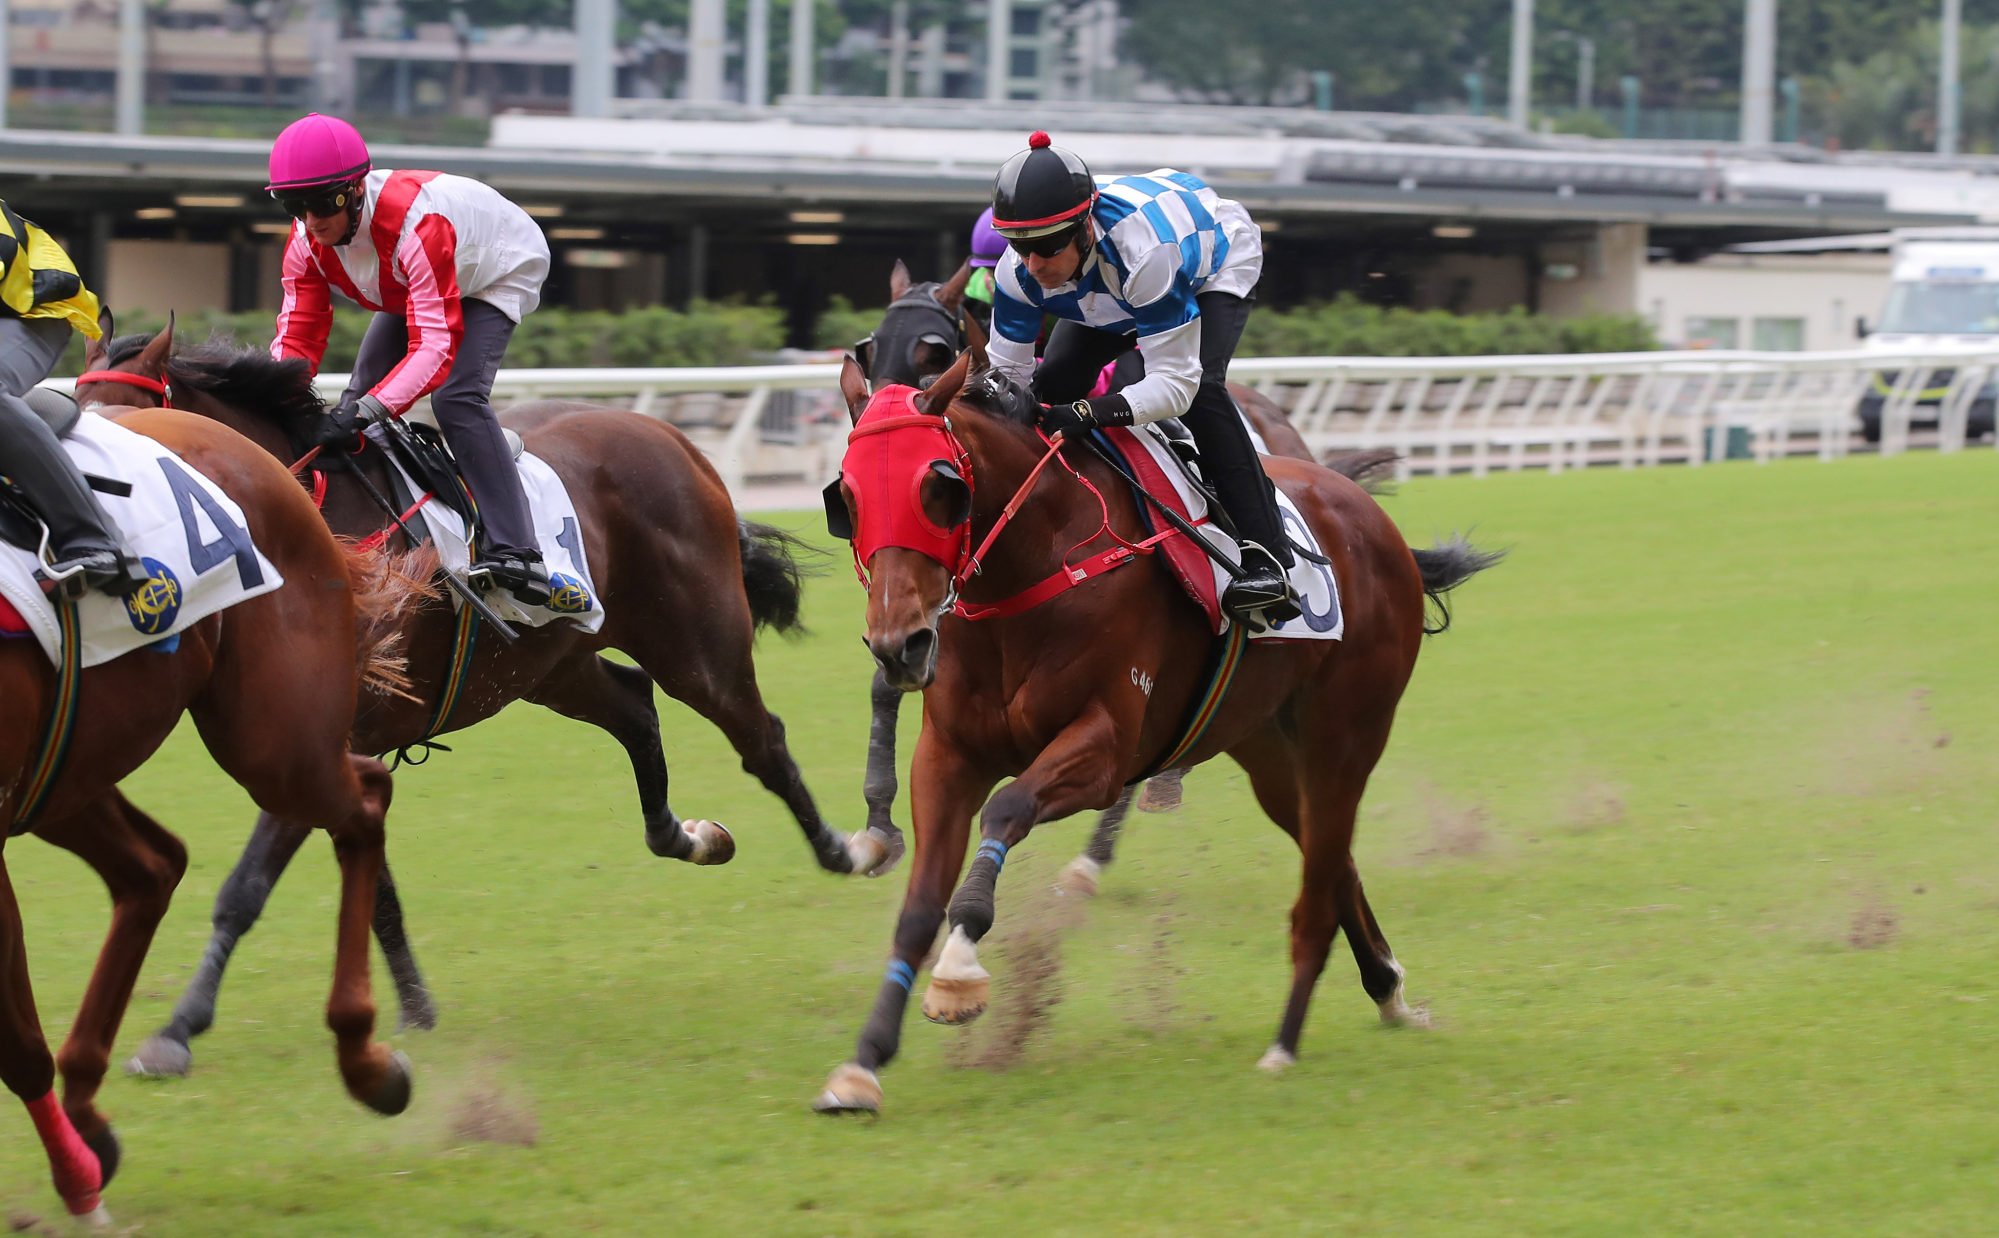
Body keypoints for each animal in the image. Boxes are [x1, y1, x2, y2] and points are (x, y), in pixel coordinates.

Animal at [0, 404, 413, 1224]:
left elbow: (14, 1043)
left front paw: (78, 1191)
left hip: (274, 741)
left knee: (363, 802)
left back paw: (365, 1059)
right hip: (65, 774)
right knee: (152, 867)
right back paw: (92, 1105)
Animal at [75, 322, 891, 1088]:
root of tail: (674, 441)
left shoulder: (322, 743)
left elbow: (246, 887)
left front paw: (176, 1031)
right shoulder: (345, 749)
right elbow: (375, 887)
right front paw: (414, 1007)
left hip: (697, 645)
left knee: (761, 739)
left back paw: (848, 848)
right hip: (551, 665)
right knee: (635, 707)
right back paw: (685, 835)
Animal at [811, 344, 1503, 1120]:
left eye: (940, 487)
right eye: (845, 498)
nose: (897, 644)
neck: (1038, 564)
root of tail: (1372, 521)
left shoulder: (1105, 748)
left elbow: (1009, 807)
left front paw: (959, 971)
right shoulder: (948, 756)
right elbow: (917, 907)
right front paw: (863, 1063)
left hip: (1347, 732)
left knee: (1320, 874)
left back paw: (1287, 1040)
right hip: (1266, 747)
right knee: (1330, 857)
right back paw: (1386, 988)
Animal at [851, 262, 1383, 896]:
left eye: (931, 351)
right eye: (871, 347)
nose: (875, 410)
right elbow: (886, 685)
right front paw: (876, 830)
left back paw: (1095, 856)